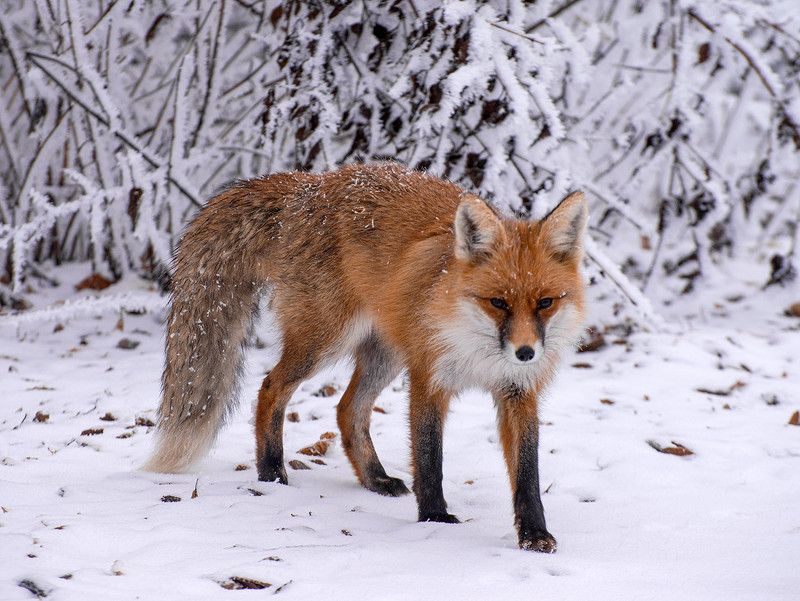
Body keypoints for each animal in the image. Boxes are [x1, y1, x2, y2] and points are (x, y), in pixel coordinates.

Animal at [144, 162, 588, 552]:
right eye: (498, 302)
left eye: (545, 303)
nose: (525, 352)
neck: (479, 351)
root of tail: (312, 183)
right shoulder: (428, 379)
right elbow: (430, 458)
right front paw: (434, 519)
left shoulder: (518, 392)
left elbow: (527, 473)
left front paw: (533, 535)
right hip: (324, 342)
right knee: (270, 388)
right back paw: (271, 471)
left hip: (384, 355)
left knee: (346, 409)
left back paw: (375, 479)